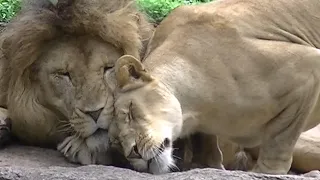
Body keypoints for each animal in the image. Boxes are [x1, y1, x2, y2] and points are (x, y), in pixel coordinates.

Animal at [110, 0, 320, 175]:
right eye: (118, 143)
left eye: (130, 111)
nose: (133, 153)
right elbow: (205, 144)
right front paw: (205, 165)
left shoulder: (307, 68)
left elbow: (280, 139)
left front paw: (266, 172)